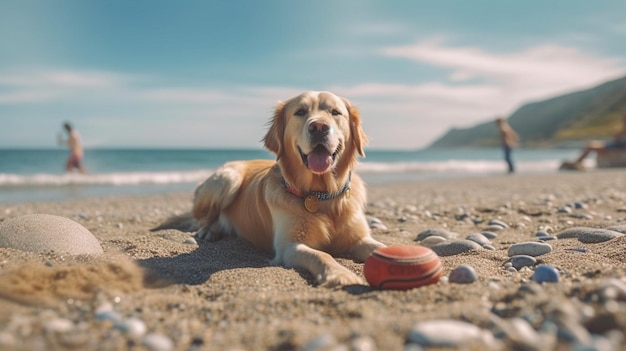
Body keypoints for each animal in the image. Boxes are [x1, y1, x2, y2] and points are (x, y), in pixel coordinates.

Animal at [152, 91, 386, 288]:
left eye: (335, 112)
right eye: (300, 112)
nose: (318, 127)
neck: (322, 195)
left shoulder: (360, 238)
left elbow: (381, 248)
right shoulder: (289, 246)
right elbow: (321, 255)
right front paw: (341, 275)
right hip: (227, 178)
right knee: (203, 218)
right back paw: (209, 230)